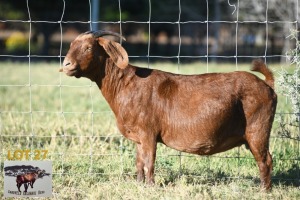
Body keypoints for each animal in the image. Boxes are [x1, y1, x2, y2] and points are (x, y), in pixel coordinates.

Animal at [62, 30, 278, 190]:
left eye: (88, 47)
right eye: (71, 46)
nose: (66, 64)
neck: (126, 85)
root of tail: (267, 85)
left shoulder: (149, 132)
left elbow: (149, 161)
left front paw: (150, 186)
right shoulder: (139, 136)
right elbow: (139, 162)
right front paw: (139, 185)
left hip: (258, 129)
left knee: (265, 160)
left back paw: (264, 191)